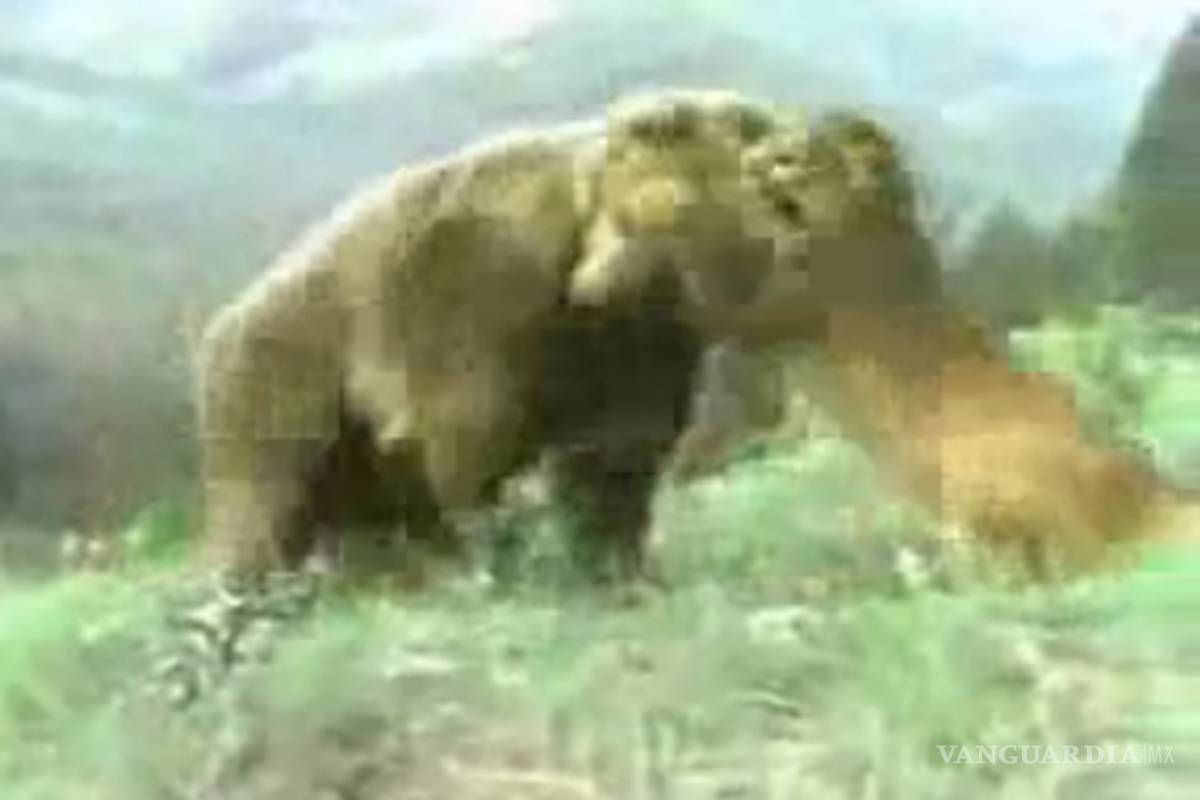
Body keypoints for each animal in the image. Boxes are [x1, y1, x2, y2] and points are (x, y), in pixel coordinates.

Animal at [195, 89, 801, 579]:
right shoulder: (476, 296)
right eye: (637, 207)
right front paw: (503, 554)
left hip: (347, 447)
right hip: (285, 386)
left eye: (672, 211)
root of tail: (215, 329)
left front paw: (617, 567)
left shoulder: (637, 349)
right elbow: (471, 434)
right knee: (267, 513)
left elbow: (616, 460)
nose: (597, 284)